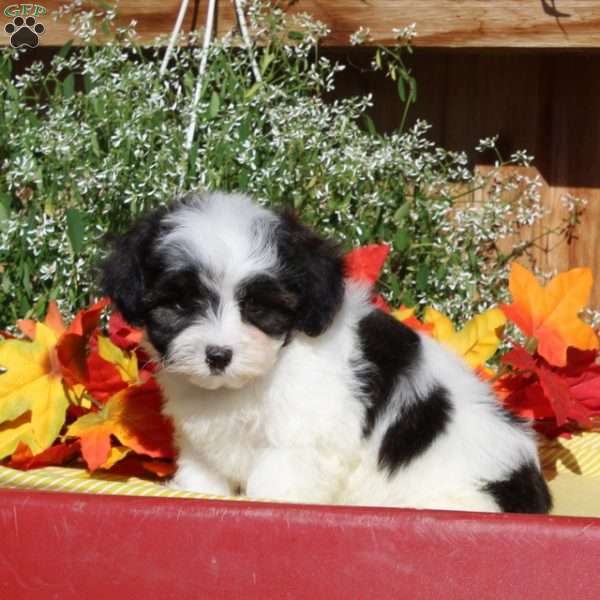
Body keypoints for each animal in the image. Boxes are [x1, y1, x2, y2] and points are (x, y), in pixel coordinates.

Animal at [102, 191, 552, 510]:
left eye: (258, 308)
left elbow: (275, 487)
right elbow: (202, 476)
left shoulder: (299, 444)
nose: (218, 355)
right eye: (181, 305)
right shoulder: (203, 442)